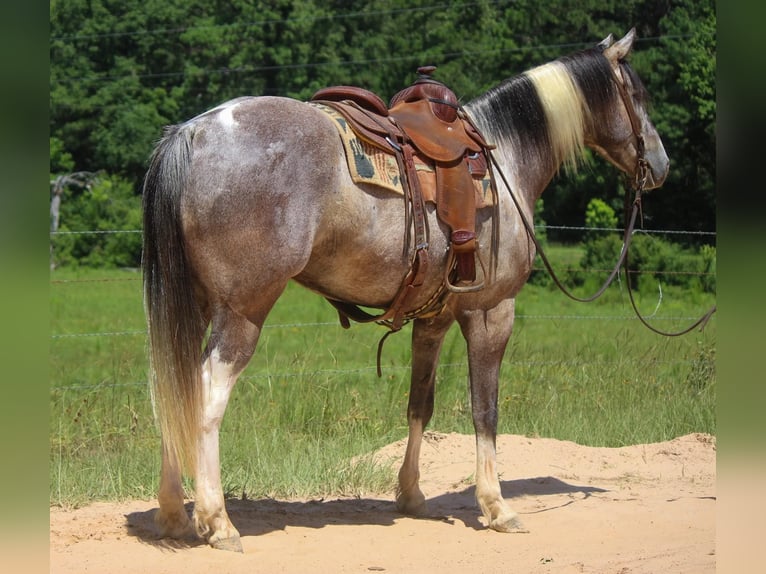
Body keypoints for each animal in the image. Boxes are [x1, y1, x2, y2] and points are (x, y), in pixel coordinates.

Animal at [142, 30, 664, 552]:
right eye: (639, 95)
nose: (660, 165)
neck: (504, 161)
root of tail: (194, 132)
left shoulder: (433, 318)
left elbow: (420, 404)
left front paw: (411, 495)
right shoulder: (492, 311)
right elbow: (485, 410)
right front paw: (496, 506)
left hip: (195, 308)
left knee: (171, 386)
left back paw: (172, 513)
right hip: (243, 311)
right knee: (206, 395)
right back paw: (217, 521)